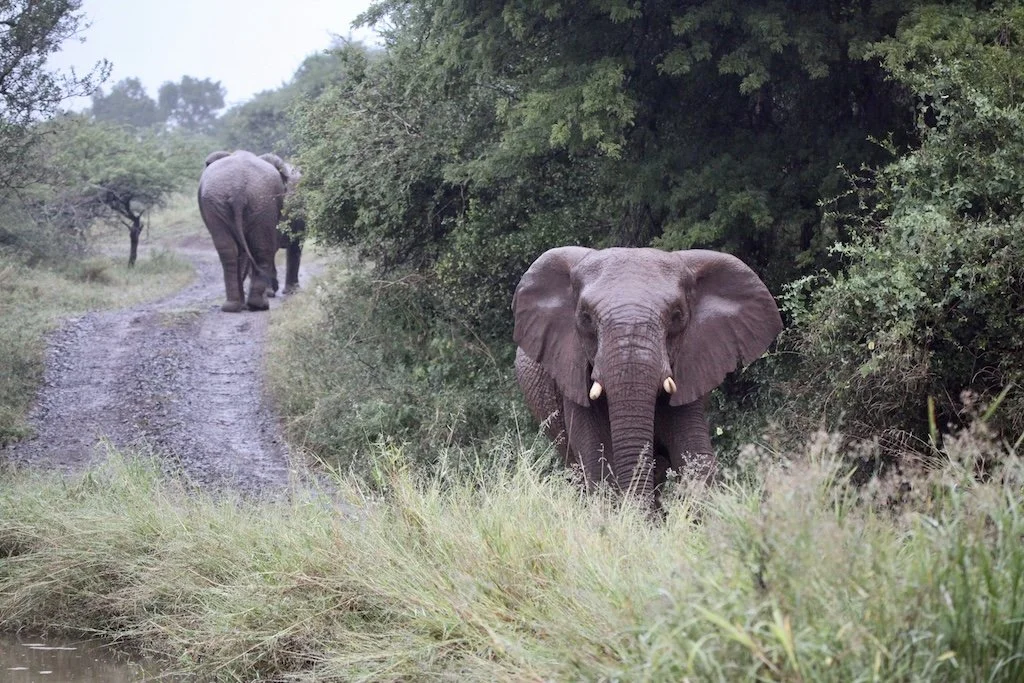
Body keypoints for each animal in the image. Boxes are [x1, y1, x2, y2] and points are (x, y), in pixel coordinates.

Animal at [198, 150, 299, 312]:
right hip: (262, 202)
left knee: (229, 251)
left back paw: (234, 307)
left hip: (221, 203)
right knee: (262, 250)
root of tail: (237, 190)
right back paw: (259, 304)